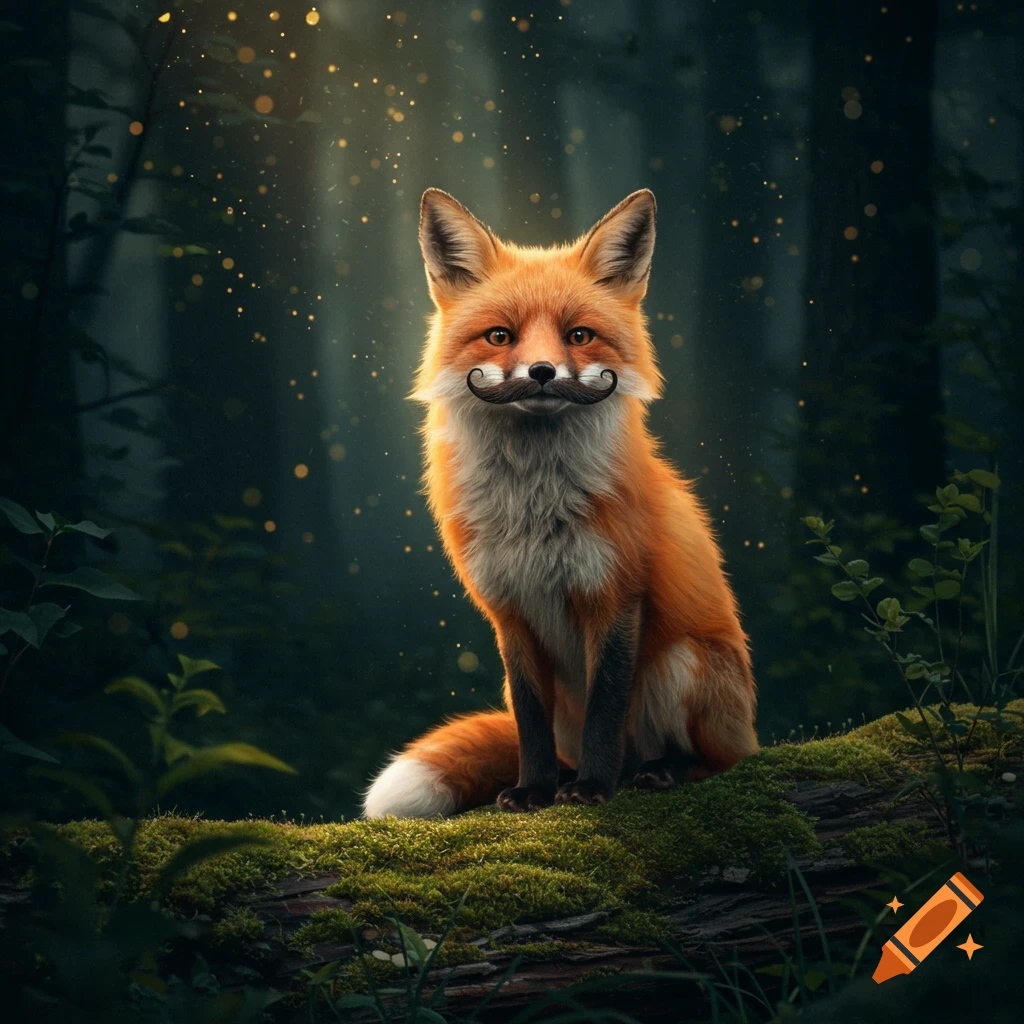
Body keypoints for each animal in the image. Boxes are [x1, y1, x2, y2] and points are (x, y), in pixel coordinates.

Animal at [361, 187, 758, 818]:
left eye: (578, 336)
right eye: (500, 336)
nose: (543, 372)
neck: (535, 508)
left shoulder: (616, 594)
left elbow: (605, 705)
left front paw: (593, 788)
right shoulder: (508, 611)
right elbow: (529, 723)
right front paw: (534, 790)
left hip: (683, 663)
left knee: (717, 760)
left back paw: (656, 771)